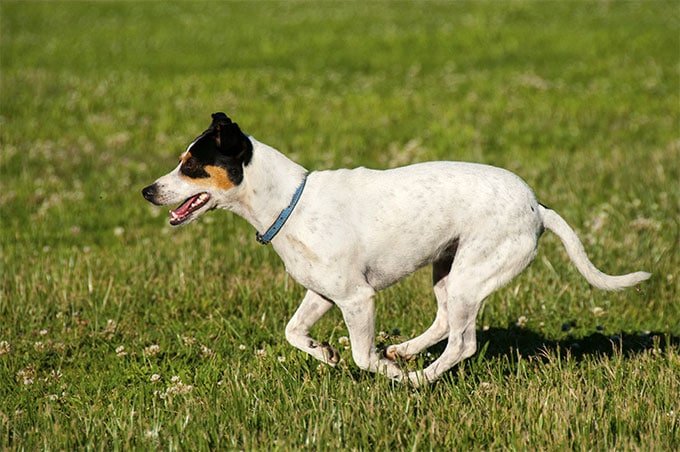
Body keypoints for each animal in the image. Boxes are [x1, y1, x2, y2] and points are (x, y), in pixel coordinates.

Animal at [141, 113, 652, 384]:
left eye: (191, 166)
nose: (148, 191)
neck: (289, 202)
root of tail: (537, 207)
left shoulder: (357, 300)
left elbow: (363, 356)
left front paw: (388, 373)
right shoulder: (321, 295)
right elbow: (293, 332)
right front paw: (325, 352)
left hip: (471, 276)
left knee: (462, 343)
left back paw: (418, 377)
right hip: (448, 271)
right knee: (444, 323)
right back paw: (405, 351)